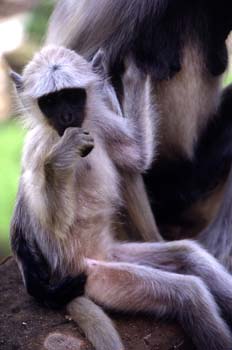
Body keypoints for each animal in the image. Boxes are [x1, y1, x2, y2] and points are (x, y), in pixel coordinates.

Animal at [10, 44, 232, 350]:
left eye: (71, 96)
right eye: (51, 102)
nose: (66, 117)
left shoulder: (100, 123)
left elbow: (138, 157)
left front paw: (135, 73)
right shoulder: (38, 147)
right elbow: (53, 222)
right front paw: (61, 159)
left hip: (117, 254)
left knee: (188, 255)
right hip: (97, 277)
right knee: (188, 292)